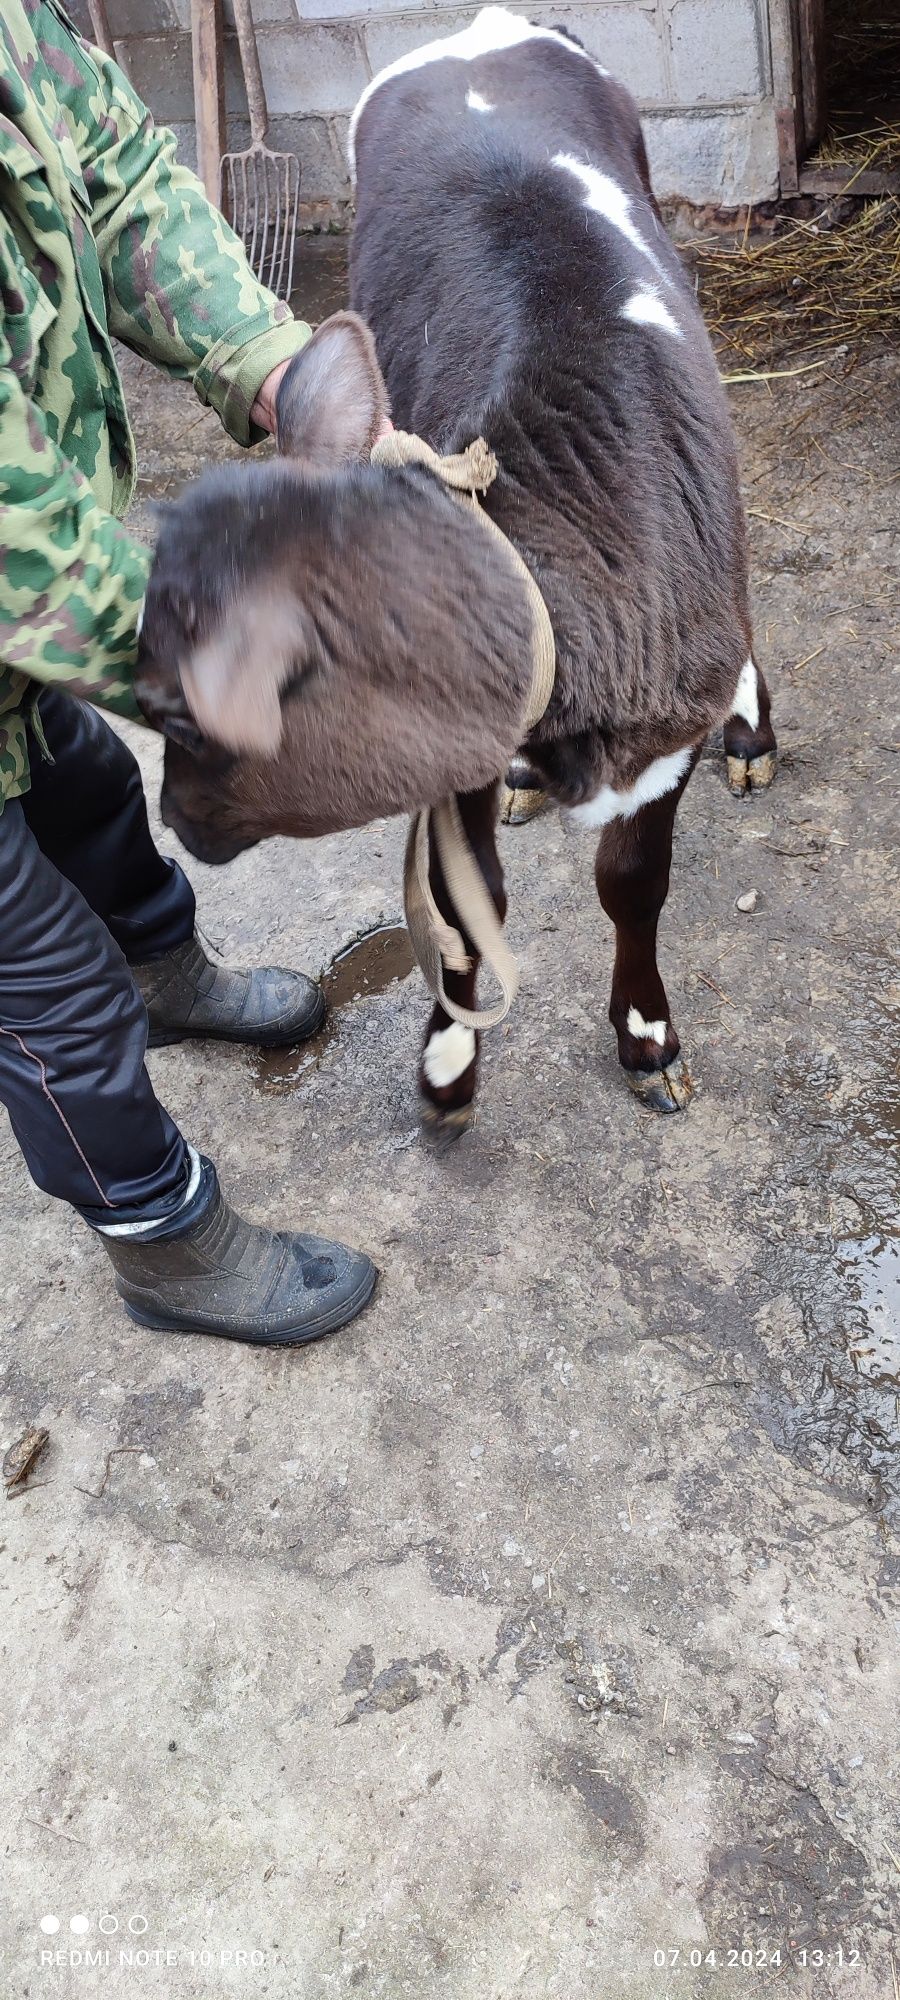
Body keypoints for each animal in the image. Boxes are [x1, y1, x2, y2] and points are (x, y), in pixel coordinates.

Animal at [134, 3, 772, 1128]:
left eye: (193, 711)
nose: (171, 820)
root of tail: (484, 26)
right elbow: (464, 905)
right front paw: (449, 1061)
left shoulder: (661, 733)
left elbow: (631, 879)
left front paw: (647, 1036)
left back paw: (750, 724)